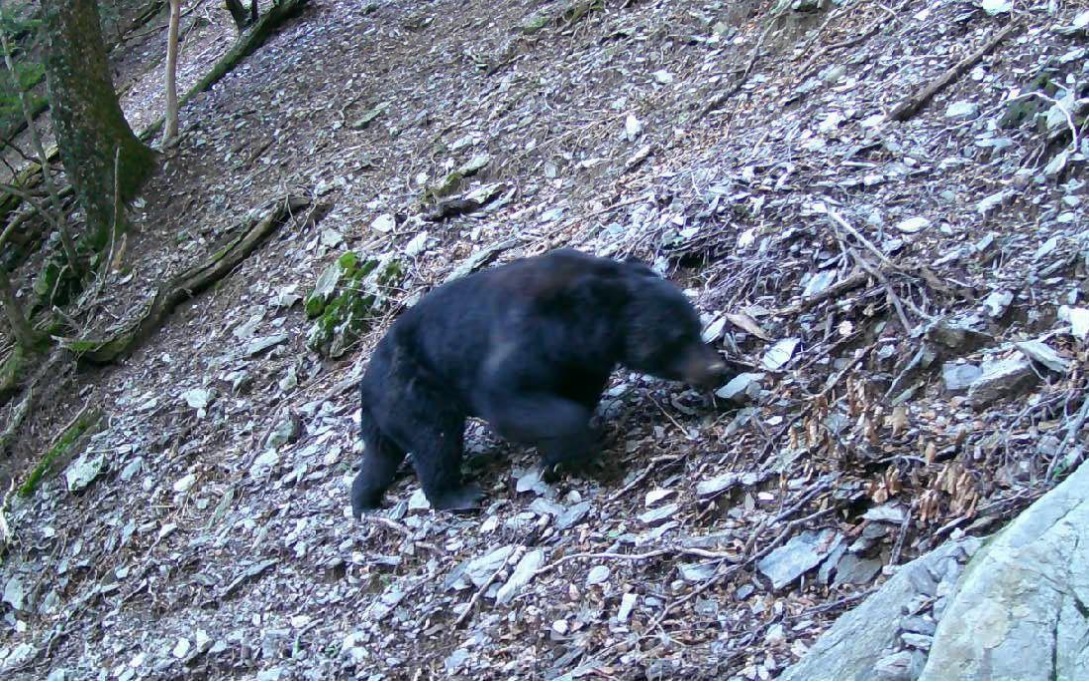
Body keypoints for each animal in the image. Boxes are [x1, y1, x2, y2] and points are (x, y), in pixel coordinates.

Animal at [352, 247, 727, 512]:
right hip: (412, 391)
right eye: (677, 338)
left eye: (697, 326)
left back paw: (364, 499)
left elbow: (579, 391)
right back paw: (458, 496)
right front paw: (572, 455)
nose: (718, 369)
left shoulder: (583, 360)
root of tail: (366, 388)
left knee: (381, 457)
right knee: (435, 440)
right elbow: (507, 397)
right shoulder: (527, 336)